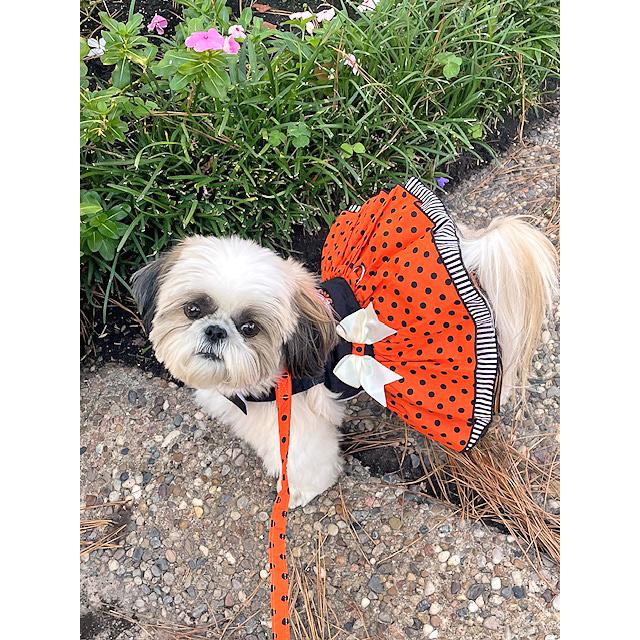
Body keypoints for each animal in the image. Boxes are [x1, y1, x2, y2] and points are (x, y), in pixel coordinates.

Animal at [132, 181, 558, 508]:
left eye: (250, 327)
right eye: (193, 309)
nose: (216, 331)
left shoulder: (296, 425)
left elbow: (306, 463)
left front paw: (297, 492)